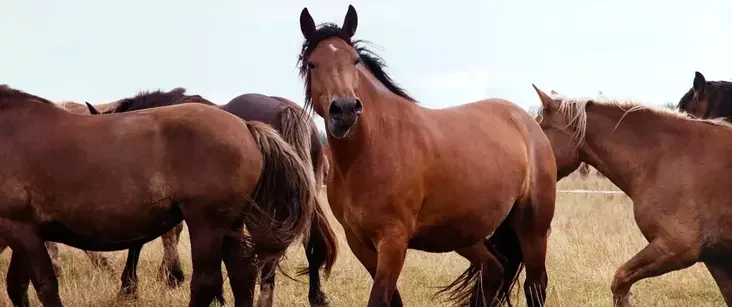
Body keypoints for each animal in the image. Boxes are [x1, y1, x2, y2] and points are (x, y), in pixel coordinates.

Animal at [296, 5, 556, 307]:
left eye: (355, 61)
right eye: (312, 64)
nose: (345, 109)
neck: (369, 151)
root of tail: (526, 121)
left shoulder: (393, 241)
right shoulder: (359, 242)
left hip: (533, 230)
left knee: (535, 286)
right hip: (464, 233)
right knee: (494, 269)